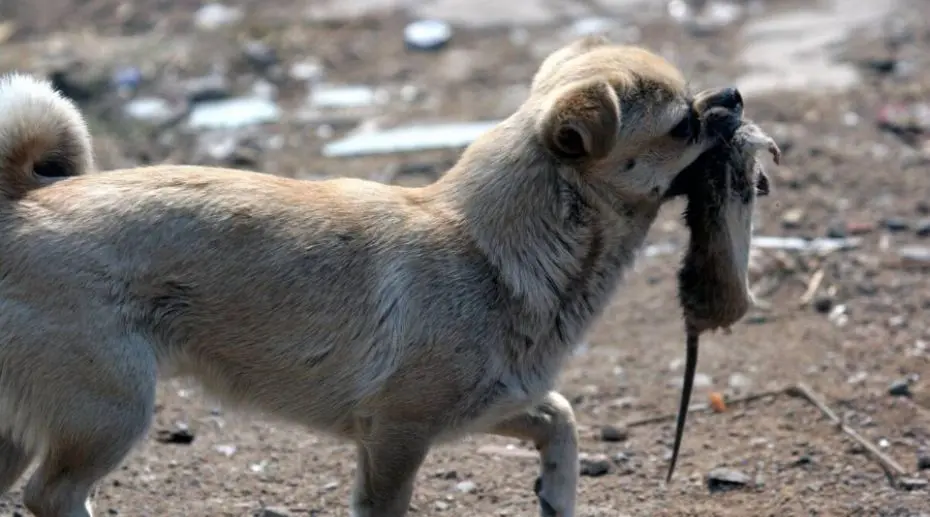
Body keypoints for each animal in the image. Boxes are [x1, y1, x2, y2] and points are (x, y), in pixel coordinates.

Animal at [0, 36, 744, 516]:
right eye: (683, 124)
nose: (734, 95)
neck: (489, 248)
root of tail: (18, 205)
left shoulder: (487, 405)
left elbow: (560, 415)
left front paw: (558, 493)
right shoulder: (397, 437)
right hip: (114, 408)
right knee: (51, 494)